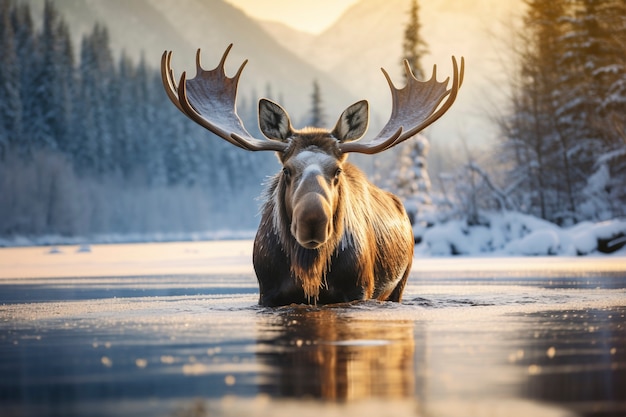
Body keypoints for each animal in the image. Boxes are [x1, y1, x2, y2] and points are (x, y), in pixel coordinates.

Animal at [160, 44, 464, 306]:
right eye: (287, 169)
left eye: (337, 171)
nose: (313, 221)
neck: (310, 270)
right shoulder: (268, 292)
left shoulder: (358, 290)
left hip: (400, 283)